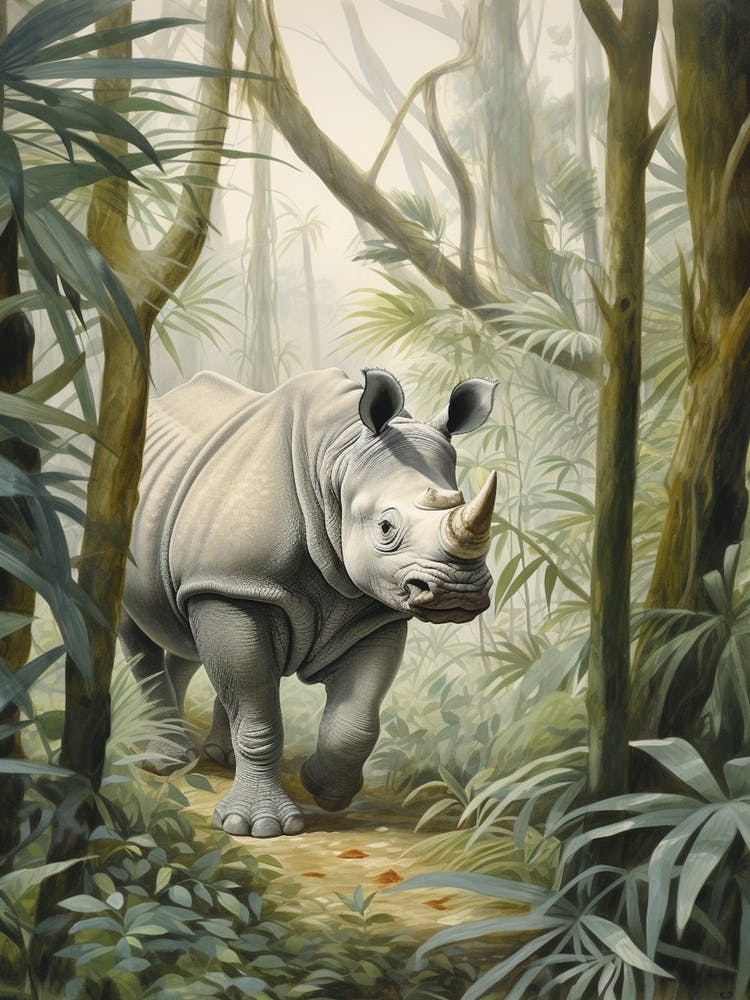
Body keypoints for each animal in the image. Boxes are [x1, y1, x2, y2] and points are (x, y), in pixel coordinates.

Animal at [121, 367, 498, 837]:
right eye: (386, 527)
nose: (458, 592)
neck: (339, 457)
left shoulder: (372, 612)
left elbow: (356, 719)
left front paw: (325, 788)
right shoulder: (234, 583)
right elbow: (258, 713)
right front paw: (257, 827)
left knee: (184, 630)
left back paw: (216, 755)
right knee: (141, 629)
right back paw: (166, 763)